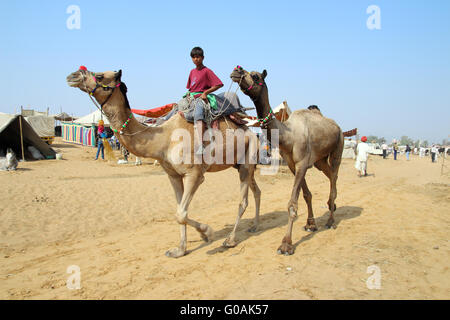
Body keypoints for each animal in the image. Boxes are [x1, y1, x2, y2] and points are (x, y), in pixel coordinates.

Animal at [66, 67, 260, 258]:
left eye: (99, 76)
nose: (72, 75)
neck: (164, 139)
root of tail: (249, 130)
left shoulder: (194, 174)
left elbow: (180, 213)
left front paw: (207, 232)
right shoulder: (173, 175)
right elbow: (180, 211)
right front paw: (180, 250)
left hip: (248, 158)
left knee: (243, 201)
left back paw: (231, 240)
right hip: (239, 163)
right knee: (256, 190)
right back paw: (254, 227)